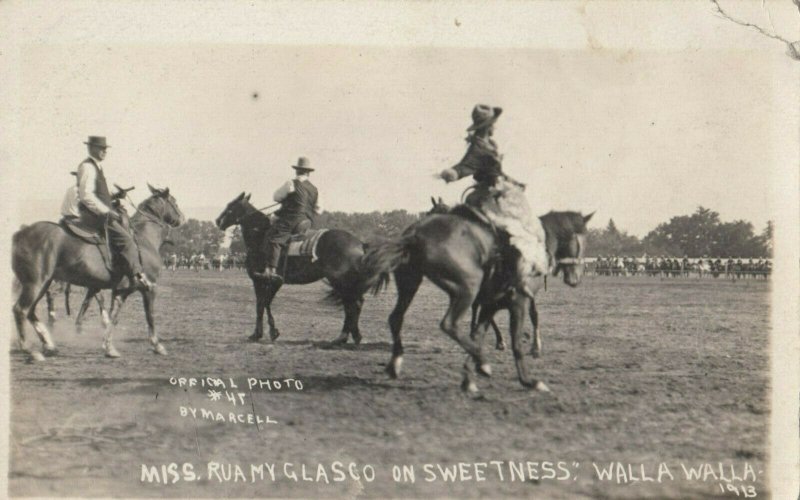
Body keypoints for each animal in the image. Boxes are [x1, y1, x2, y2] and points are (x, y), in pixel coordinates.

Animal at [14, 186, 184, 362]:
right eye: (174, 201)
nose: (181, 218)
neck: (144, 240)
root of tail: (21, 233)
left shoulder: (121, 291)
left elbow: (113, 317)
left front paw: (109, 347)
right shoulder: (149, 288)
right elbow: (150, 316)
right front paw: (157, 345)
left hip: (43, 284)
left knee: (31, 311)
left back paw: (48, 344)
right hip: (35, 283)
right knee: (20, 310)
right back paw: (30, 350)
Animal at [212, 191, 362, 344]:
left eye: (231, 205)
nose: (218, 221)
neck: (261, 238)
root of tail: (360, 244)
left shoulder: (270, 281)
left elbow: (263, 304)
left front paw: (268, 332)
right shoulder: (263, 281)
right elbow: (261, 304)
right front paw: (262, 333)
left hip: (340, 281)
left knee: (351, 305)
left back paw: (344, 336)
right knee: (354, 304)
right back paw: (351, 336)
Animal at [360, 209, 592, 392]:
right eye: (582, 242)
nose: (577, 277)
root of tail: (416, 233)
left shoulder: (490, 305)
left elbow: (477, 335)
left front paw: (469, 378)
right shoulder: (518, 304)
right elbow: (515, 342)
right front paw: (528, 381)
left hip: (410, 283)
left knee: (396, 318)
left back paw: (395, 363)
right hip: (466, 289)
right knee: (449, 324)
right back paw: (485, 363)